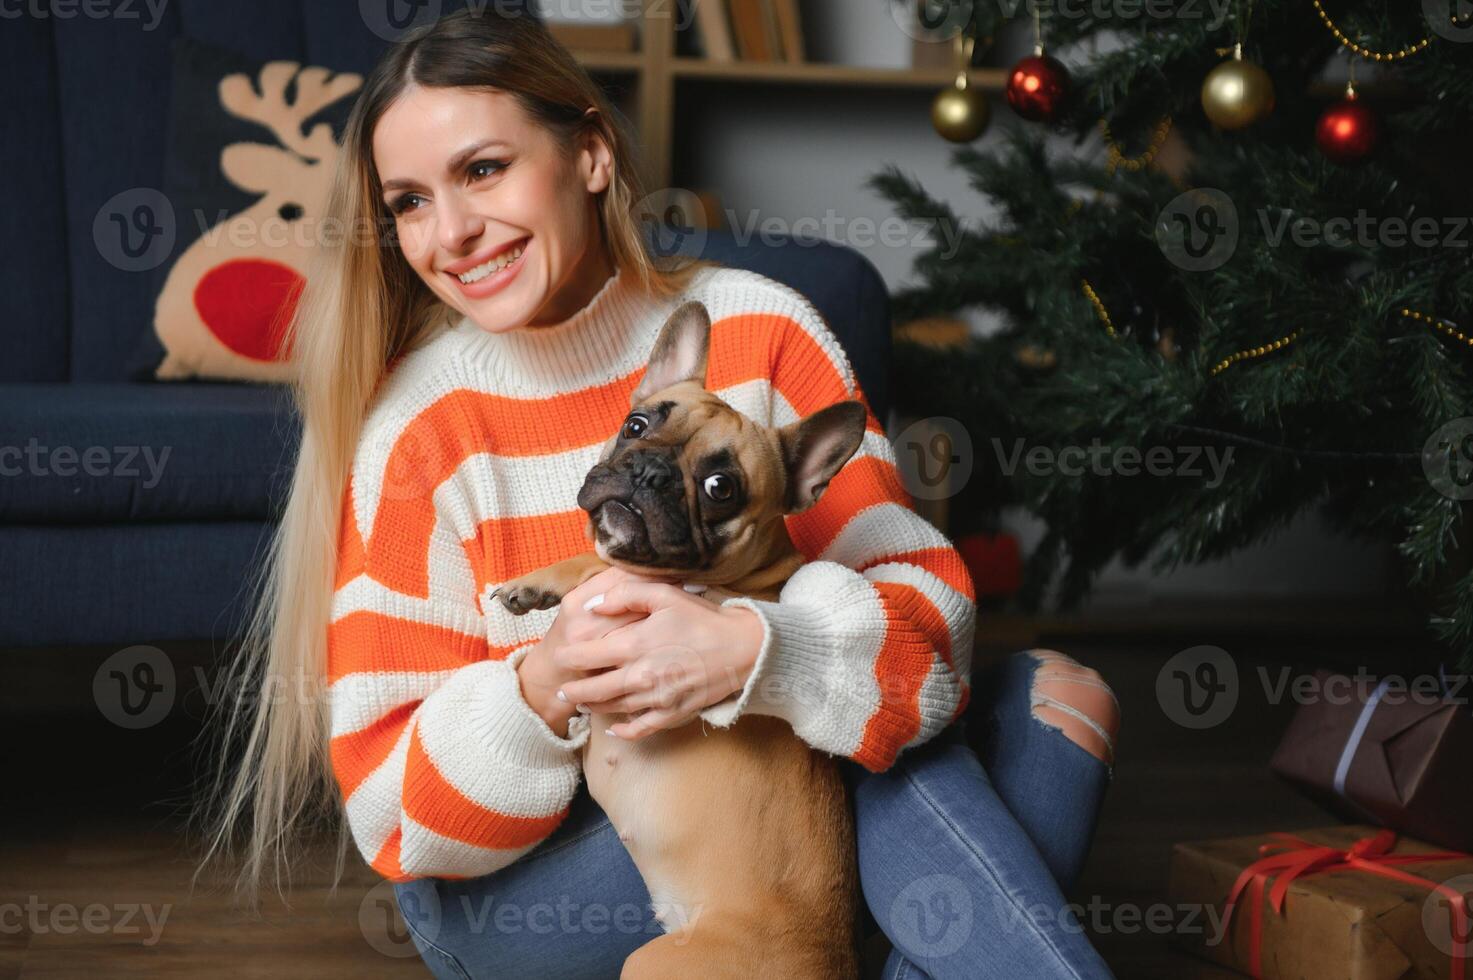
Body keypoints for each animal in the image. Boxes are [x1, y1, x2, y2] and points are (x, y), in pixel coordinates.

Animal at [489, 302, 866, 972]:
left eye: (721, 488)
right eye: (635, 425)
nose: (649, 471)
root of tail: (832, 959)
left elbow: (599, 566)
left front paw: (539, 584)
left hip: (653, 962)